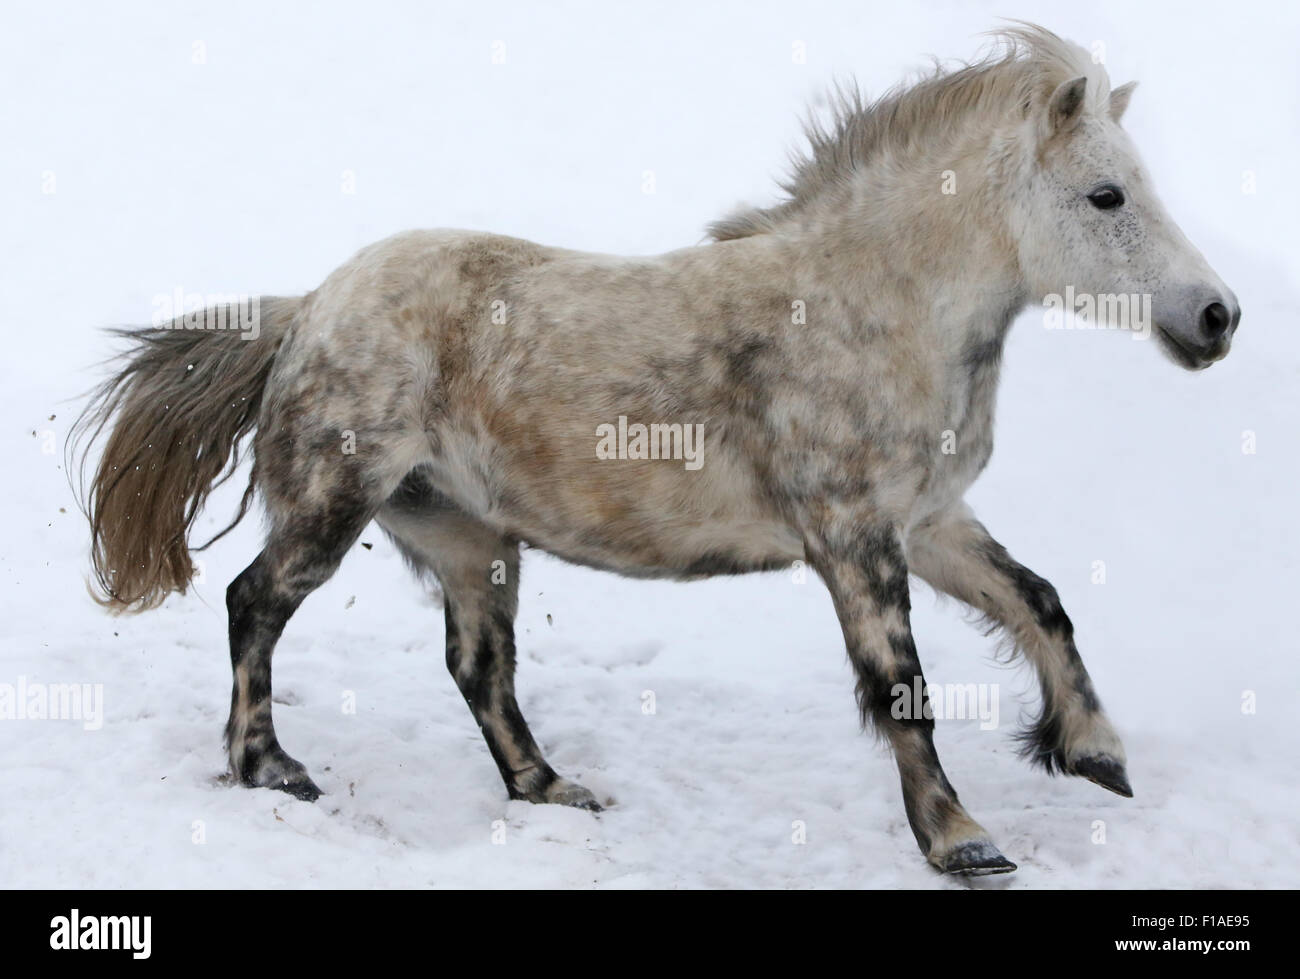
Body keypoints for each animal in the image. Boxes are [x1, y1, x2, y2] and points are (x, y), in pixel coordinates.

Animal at [71, 26, 1237, 873]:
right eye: (1106, 195)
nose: (1216, 317)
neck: (871, 309)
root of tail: (309, 307)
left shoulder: (930, 521)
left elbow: (1040, 601)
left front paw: (1094, 753)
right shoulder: (855, 537)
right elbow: (900, 685)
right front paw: (963, 841)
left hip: (468, 539)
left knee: (476, 666)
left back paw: (552, 789)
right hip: (334, 502)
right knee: (254, 602)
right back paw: (270, 767)